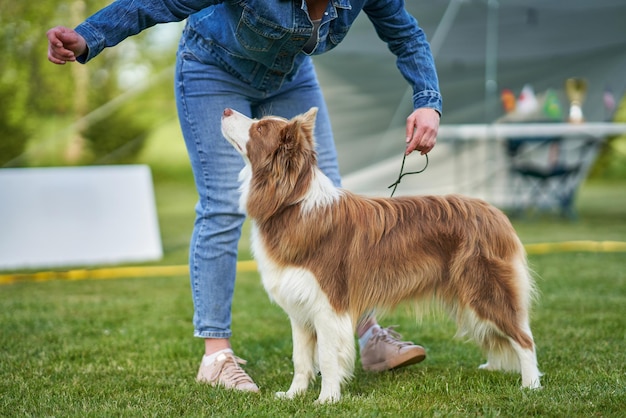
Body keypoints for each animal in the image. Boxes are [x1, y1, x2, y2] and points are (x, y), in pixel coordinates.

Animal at [221, 107, 540, 402]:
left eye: (260, 128)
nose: (225, 109)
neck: (292, 203)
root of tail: (494, 212)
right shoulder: (300, 306)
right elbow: (301, 359)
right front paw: (293, 394)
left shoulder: (328, 305)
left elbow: (327, 356)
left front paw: (327, 399)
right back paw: (495, 367)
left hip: (484, 286)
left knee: (525, 337)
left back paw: (531, 384)